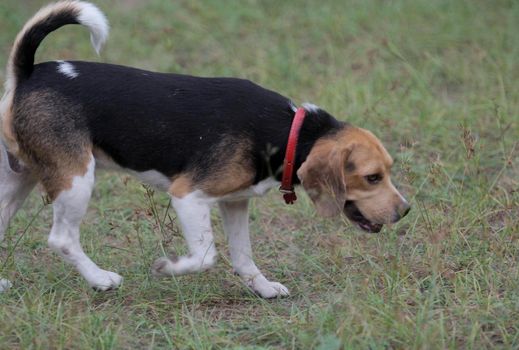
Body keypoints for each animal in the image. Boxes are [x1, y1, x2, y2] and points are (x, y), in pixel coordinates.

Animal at [2, 2, 412, 298]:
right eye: (372, 177)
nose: (406, 211)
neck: (290, 132)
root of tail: (30, 73)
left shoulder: (235, 202)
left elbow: (243, 257)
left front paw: (263, 289)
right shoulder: (189, 197)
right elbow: (205, 255)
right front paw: (168, 268)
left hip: (16, 182)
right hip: (75, 180)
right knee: (62, 239)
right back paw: (101, 279)